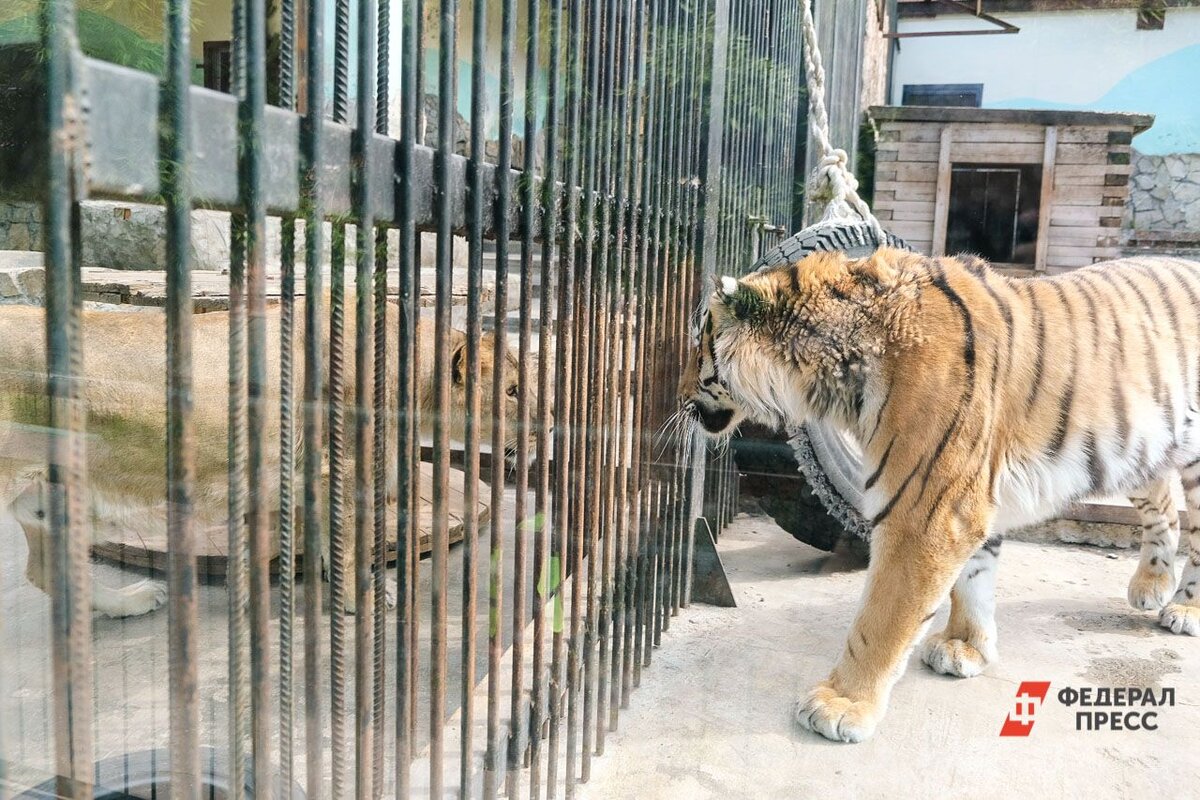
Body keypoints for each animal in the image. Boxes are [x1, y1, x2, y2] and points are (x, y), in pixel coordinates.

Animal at [681, 248, 1200, 743]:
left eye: (697, 344)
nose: (679, 395)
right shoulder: (964, 501)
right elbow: (973, 579)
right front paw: (965, 646)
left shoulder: (925, 513)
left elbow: (883, 618)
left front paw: (842, 705)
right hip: (1136, 451)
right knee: (1165, 509)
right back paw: (1151, 588)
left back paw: (1184, 609)